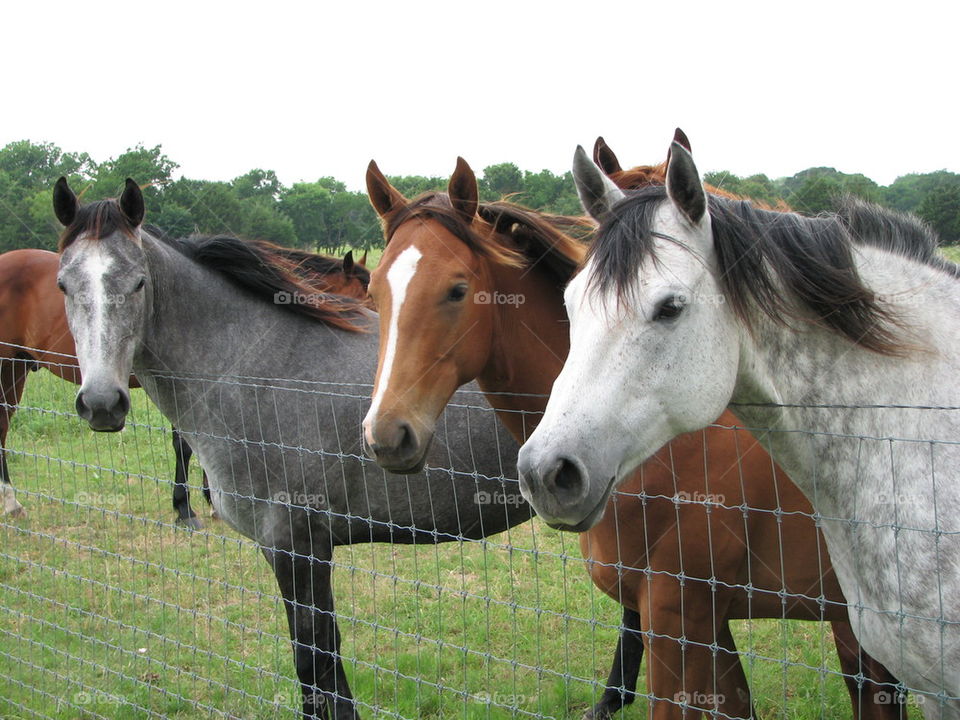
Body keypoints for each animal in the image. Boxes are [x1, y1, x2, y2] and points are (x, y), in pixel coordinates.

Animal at [54, 177, 532, 716]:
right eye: (63, 284)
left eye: (138, 283)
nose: (101, 402)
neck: (257, 370)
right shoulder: (289, 550)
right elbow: (325, 661)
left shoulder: (297, 547)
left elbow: (313, 662)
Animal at [362, 150, 908, 716]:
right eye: (373, 291)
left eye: (457, 290)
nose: (387, 434)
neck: (664, 450)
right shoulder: (708, 622)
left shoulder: (675, 615)